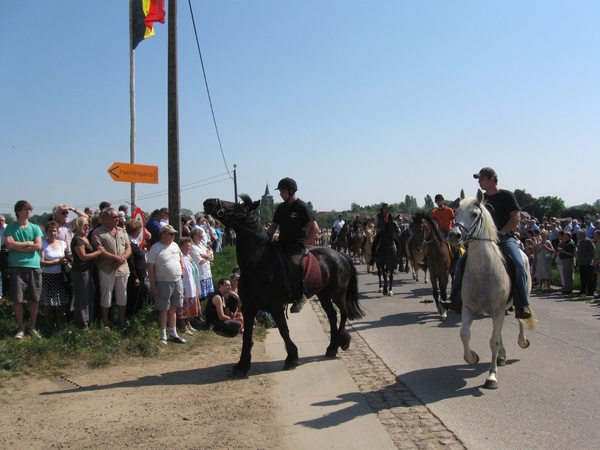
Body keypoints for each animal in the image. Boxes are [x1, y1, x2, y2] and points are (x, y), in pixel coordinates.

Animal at [203, 196, 366, 376]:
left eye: (238, 206)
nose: (209, 201)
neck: (260, 263)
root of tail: (341, 255)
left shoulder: (275, 306)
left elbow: (284, 330)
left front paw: (292, 358)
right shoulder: (248, 306)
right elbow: (248, 336)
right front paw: (242, 365)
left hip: (337, 292)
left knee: (343, 313)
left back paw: (343, 341)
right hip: (323, 293)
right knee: (331, 315)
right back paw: (332, 347)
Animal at [448, 190, 536, 390]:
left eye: (474, 214)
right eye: (456, 213)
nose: (453, 236)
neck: (482, 271)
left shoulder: (497, 310)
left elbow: (493, 342)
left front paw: (491, 377)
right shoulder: (469, 308)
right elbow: (464, 334)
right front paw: (472, 357)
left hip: (518, 300)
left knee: (520, 320)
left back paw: (522, 341)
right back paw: (502, 357)